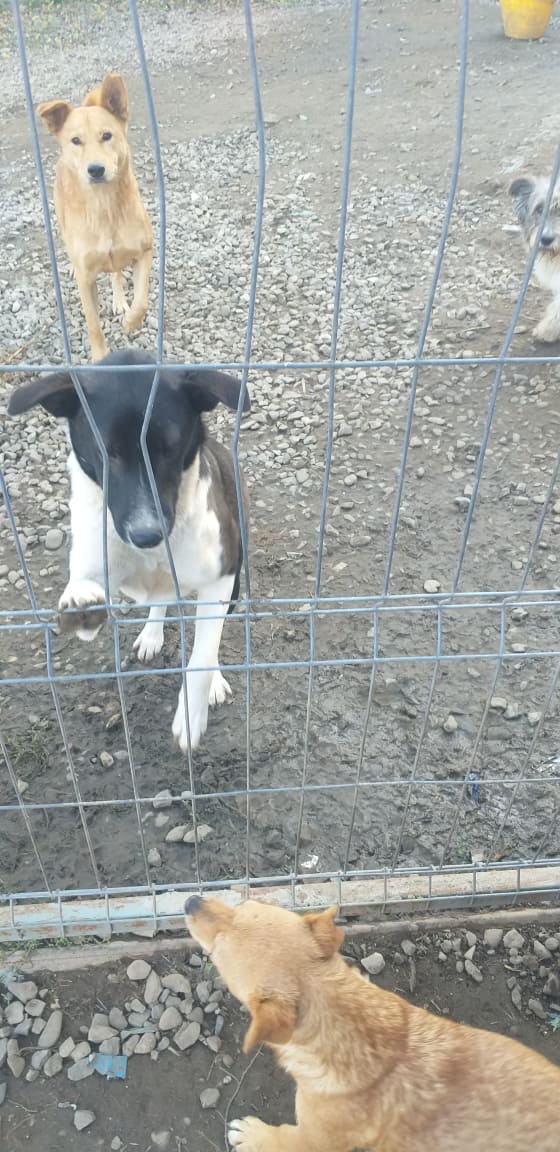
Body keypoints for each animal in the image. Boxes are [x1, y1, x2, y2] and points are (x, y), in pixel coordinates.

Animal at [8, 350, 248, 755]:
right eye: (107, 454)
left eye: (170, 449)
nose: (146, 533)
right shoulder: (96, 552)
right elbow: (84, 582)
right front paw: (81, 600)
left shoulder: (221, 574)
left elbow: (202, 654)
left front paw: (191, 714)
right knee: (160, 600)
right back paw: (151, 634)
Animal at [38, 73, 152, 359]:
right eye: (75, 141)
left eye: (107, 135)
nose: (96, 169)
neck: (104, 206)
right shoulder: (86, 279)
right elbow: (93, 325)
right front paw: (100, 357)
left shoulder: (145, 251)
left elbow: (142, 300)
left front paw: (131, 321)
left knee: (116, 273)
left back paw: (119, 300)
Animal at [185, 898, 560, 1152]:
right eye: (243, 902)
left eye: (216, 951)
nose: (190, 900)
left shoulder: (312, 1139)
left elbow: (281, 1139)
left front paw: (253, 1135)